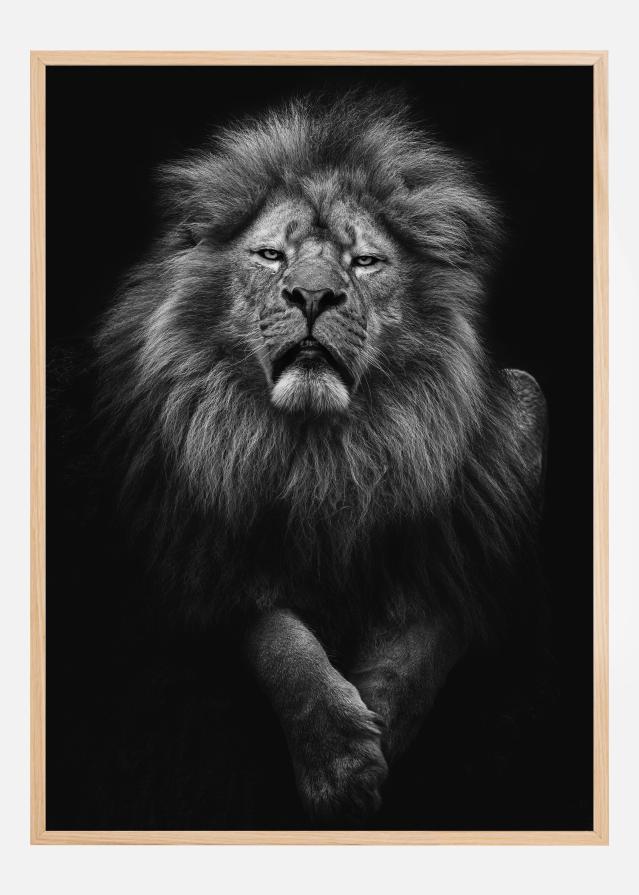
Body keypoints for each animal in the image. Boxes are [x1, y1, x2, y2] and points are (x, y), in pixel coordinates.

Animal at [95, 93, 547, 821]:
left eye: (363, 262)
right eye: (271, 255)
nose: (311, 296)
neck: (324, 450)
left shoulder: (471, 543)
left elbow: (420, 642)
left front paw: (378, 727)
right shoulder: (209, 551)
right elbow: (280, 640)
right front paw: (337, 756)